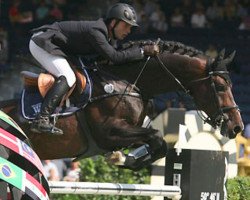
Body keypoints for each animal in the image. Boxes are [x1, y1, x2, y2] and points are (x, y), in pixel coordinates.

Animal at [0, 40, 243, 170]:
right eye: (220, 86)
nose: (237, 127)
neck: (127, 83)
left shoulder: (130, 131)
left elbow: (160, 145)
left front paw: (126, 158)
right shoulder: (109, 133)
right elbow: (156, 137)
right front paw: (123, 159)